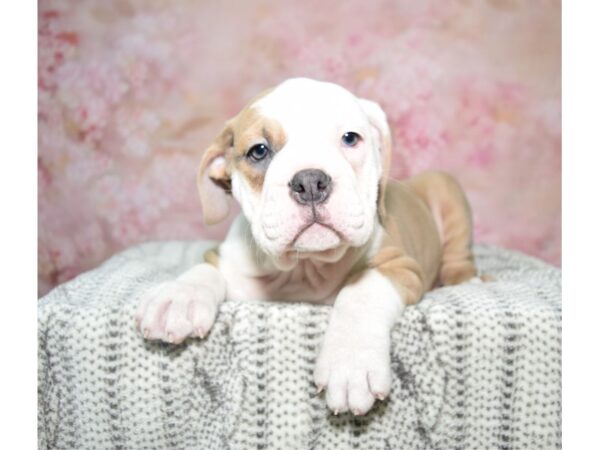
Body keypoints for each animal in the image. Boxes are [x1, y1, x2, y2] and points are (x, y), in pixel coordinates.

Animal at [136, 76, 478, 414]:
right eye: (259, 151)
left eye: (350, 138)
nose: (311, 182)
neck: (304, 267)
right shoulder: (227, 258)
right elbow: (205, 270)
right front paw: (178, 298)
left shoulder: (398, 265)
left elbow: (361, 292)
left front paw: (351, 362)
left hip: (445, 187)